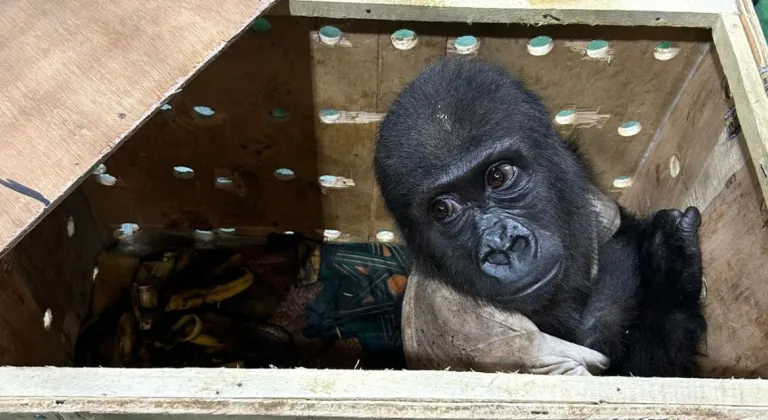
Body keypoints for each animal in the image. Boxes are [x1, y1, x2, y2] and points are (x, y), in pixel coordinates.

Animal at [376, 56, 704, 378]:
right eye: (442, 209)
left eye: (498, 176)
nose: (502, 245)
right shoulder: (487, 333)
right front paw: (668, 276)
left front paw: (668, 269)